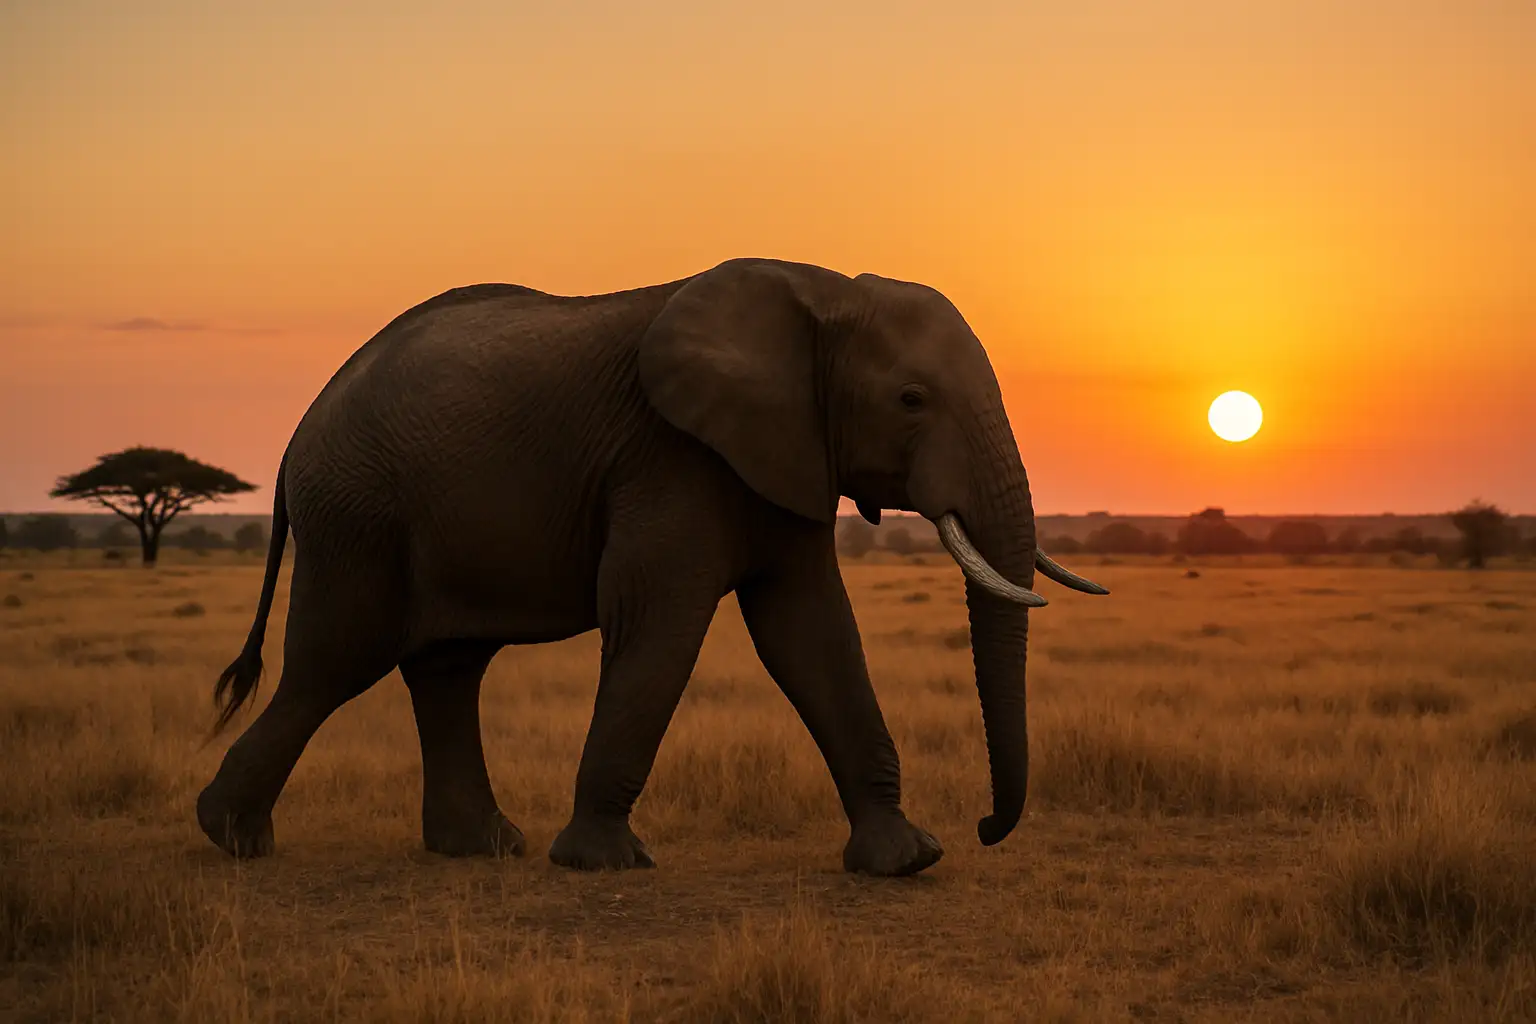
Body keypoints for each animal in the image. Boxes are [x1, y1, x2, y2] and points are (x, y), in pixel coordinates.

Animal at [196, 257, 1108, 877]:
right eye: (912, 400)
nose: (987, 829)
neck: (819, 292)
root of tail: (298, 432)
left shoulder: (781, 451)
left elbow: (812, 632)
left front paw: (907, 859)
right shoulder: (668, 456)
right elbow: (660, 620)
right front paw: (604, 861)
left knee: (446, 668)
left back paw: (482, 849)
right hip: (358, 513)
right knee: (335, 663)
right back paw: (232, 838)